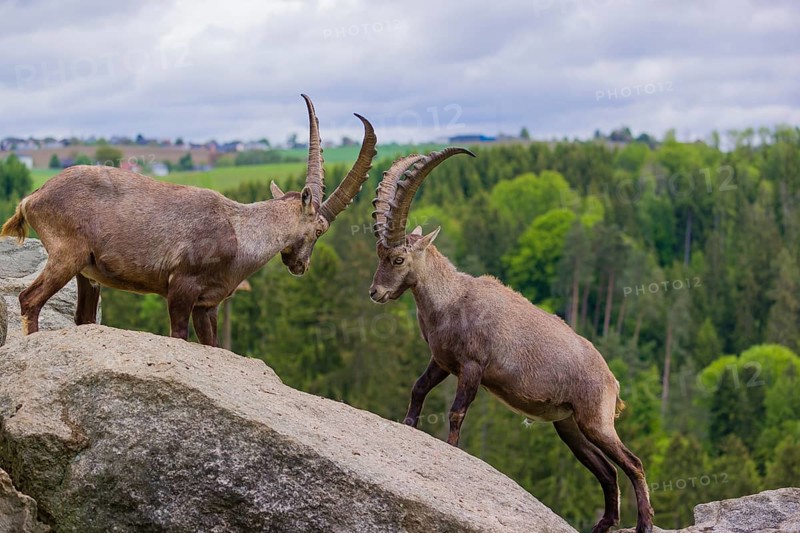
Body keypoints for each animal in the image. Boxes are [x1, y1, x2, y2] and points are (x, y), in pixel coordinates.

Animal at [1, 95, 377, 347]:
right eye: (319, 229)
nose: (301, 266)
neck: (240, 231)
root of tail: (31, 198)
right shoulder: (180, 287)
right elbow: (178, 335)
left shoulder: (207, 305)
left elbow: (212, 344)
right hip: (67, 254)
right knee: (29, 299)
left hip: (86, 273)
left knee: (83, 316)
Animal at [368, 149, 654, 533]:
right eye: (380, 255)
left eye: (398, 258)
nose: (375, 292)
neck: (451, 299)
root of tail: (612, 380)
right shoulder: (442, 361)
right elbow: (418, 388)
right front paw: (408, 426)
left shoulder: (472, 367)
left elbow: (456, 412)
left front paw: (451, 451)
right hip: (569, 425)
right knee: (607, 472)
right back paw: (603, 525)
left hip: (596, 420)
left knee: (633, 463)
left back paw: (645, 524)